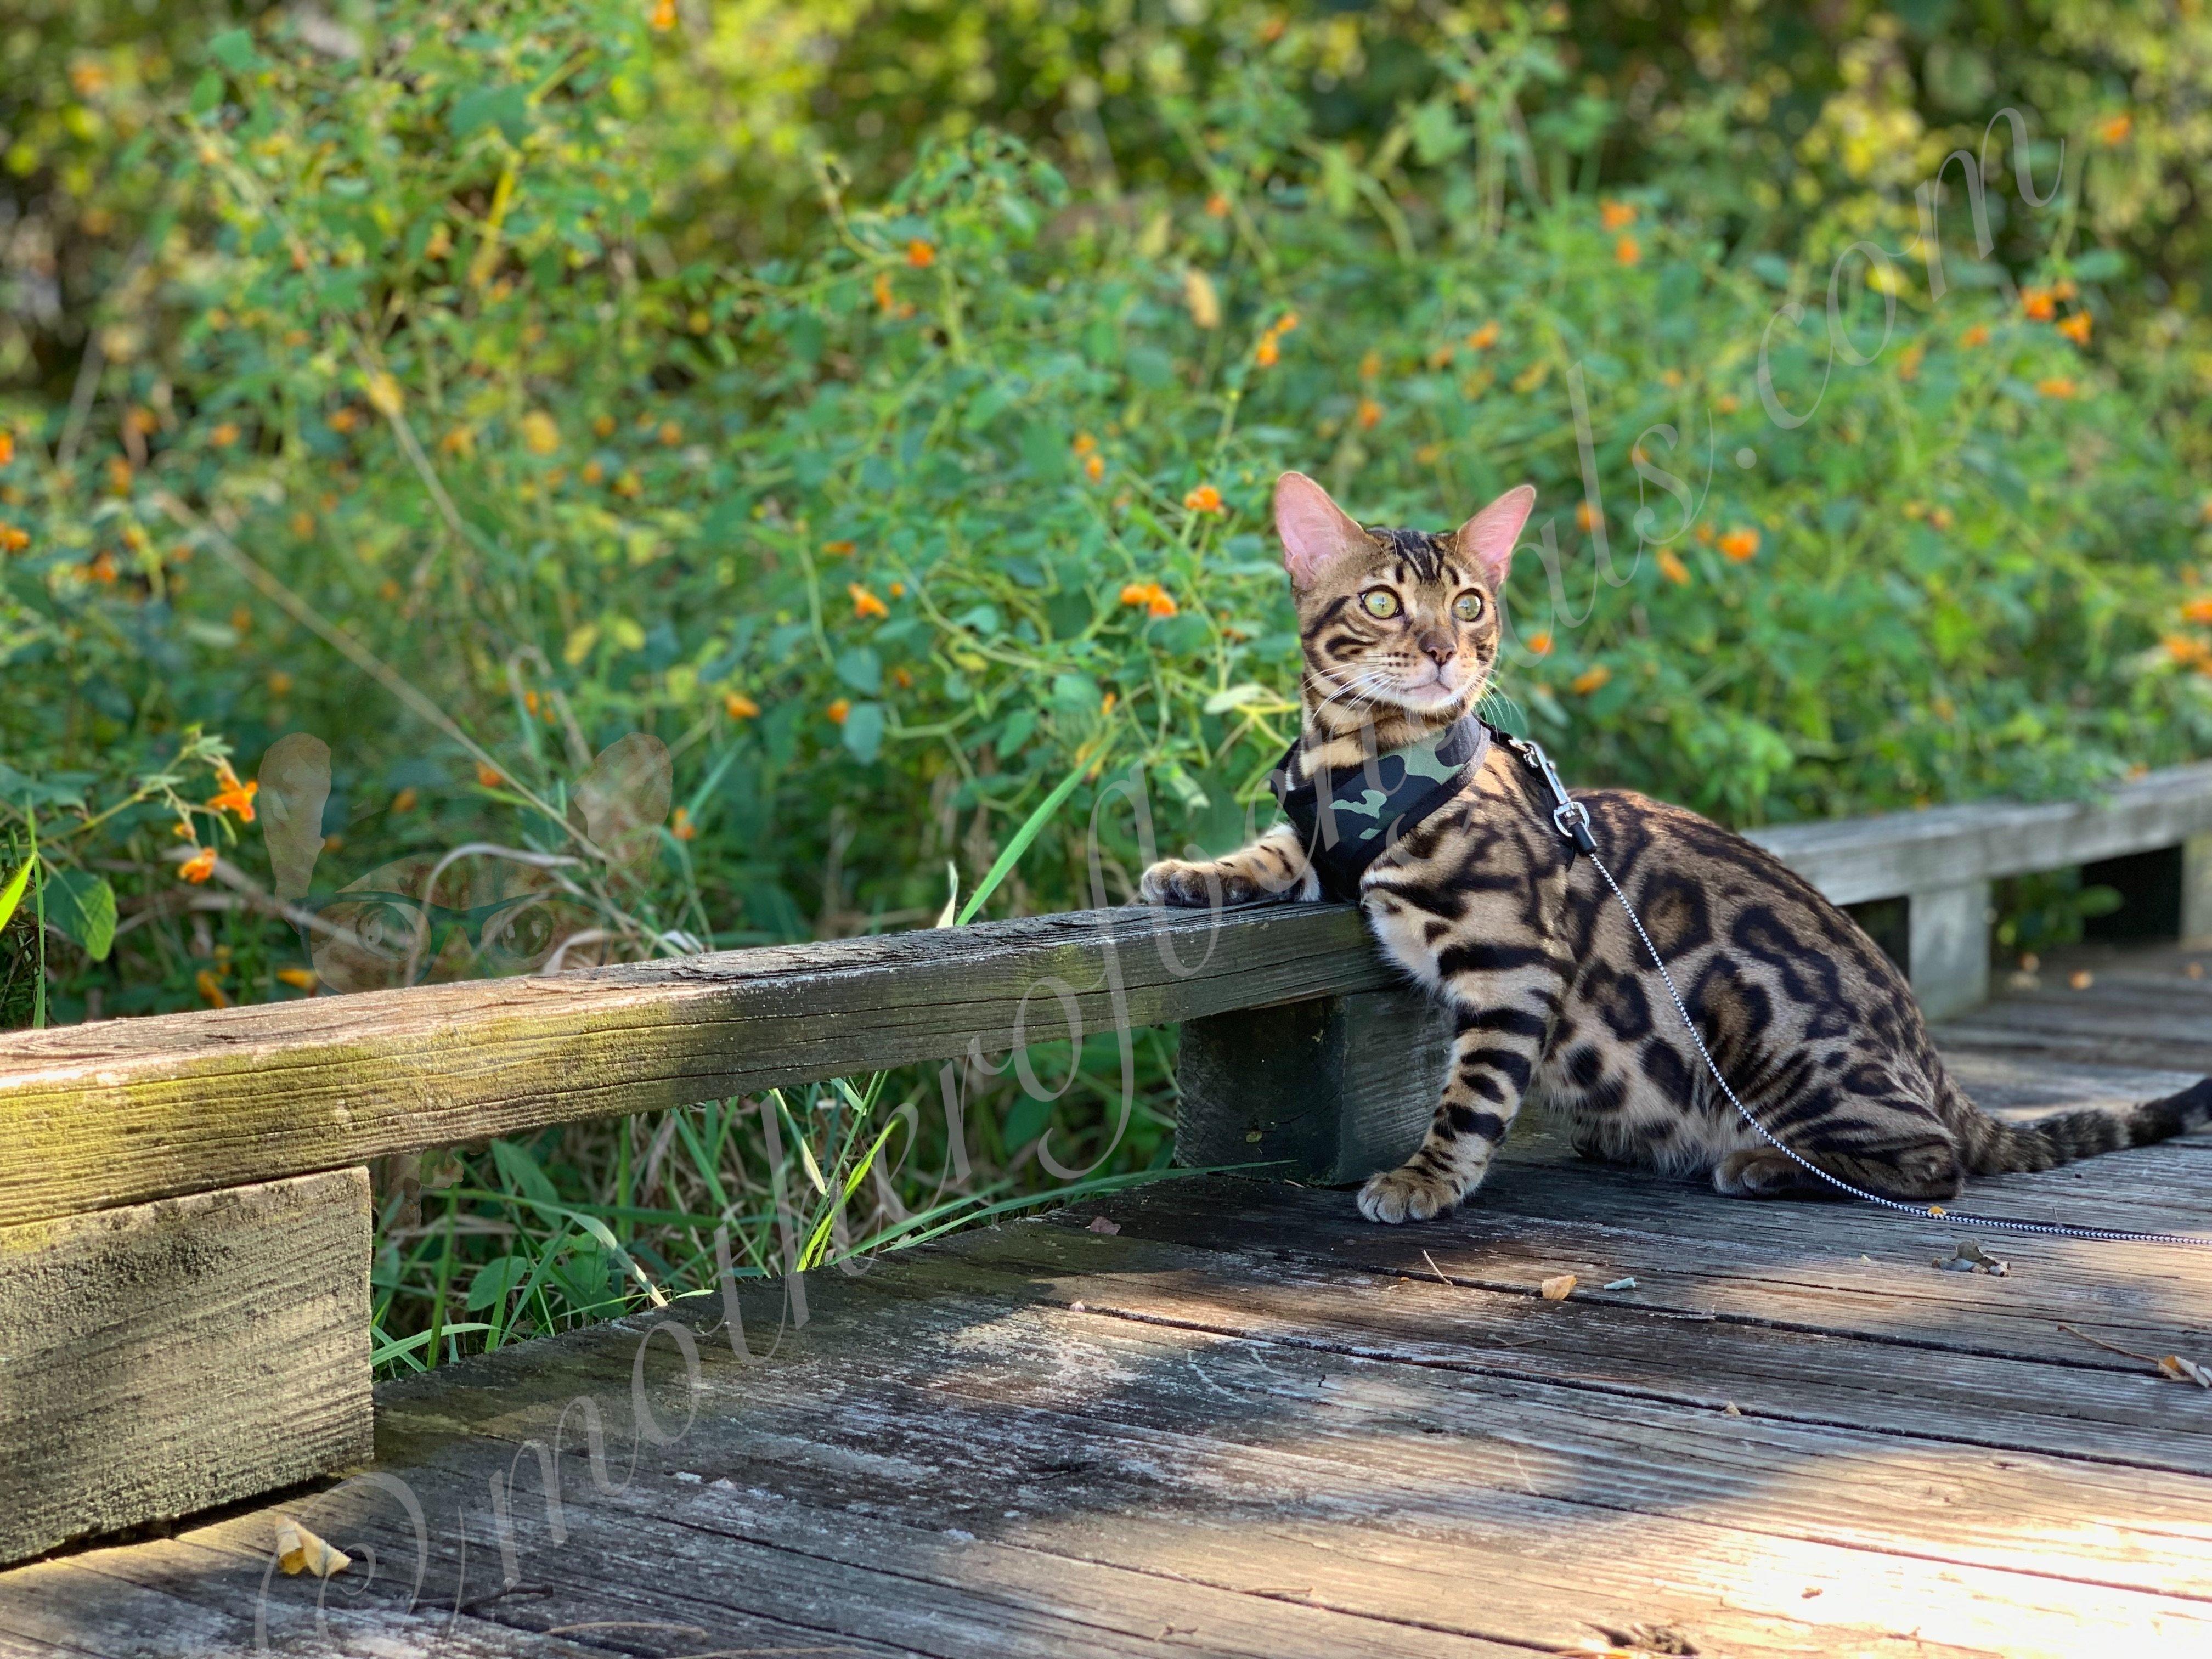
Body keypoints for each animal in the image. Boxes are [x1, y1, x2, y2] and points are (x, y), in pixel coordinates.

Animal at [1141, 473, 2212, 1229]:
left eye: (1472, 605)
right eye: (1379, 603)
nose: (1449, 651)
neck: (1360, 761)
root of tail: (1933, 1060)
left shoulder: (1513, 959)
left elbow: (1473, 1092)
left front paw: (1425, 1178)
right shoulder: (1315, 841)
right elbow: (1269, 853)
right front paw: (1190, 874)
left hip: (1775, 1043)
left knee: (1933, 1158)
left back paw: (1761, 1163)